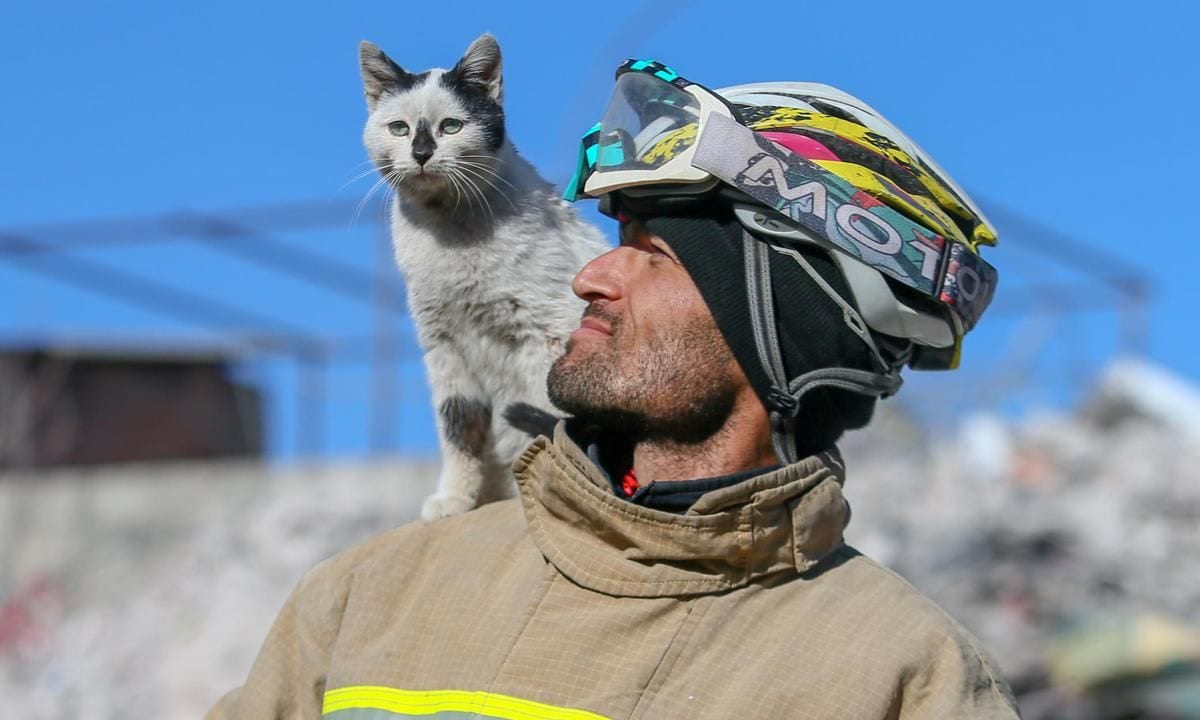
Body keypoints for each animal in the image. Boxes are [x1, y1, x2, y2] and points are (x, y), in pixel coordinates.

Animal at [350, 33, 604, 520]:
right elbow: (458, 431)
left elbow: (540, 418)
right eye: (399, 129)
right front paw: (455, 498)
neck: (450, 231)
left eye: (451, 126)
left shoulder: (546, 333)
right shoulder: (445, 349)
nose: (422, 153)